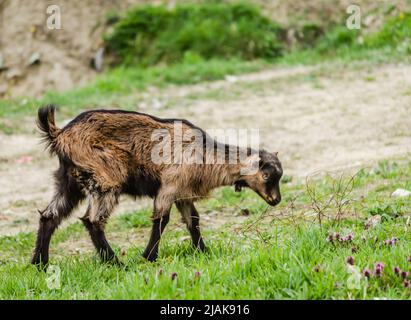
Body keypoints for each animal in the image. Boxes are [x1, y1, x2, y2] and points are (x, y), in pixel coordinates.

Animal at [32, 105, 284, 264]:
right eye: (266, 176)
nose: (276, 200)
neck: (205, 154)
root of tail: (59, 134)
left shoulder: (183, 193)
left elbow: (193, 220)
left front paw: (203, 251)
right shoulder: (169, 187)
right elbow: (162, 220)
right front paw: (149, 257)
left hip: (69, 181)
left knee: (49, 216)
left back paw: (40, 264)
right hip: (104, 178)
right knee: (93, 221)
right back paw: (116, 264)